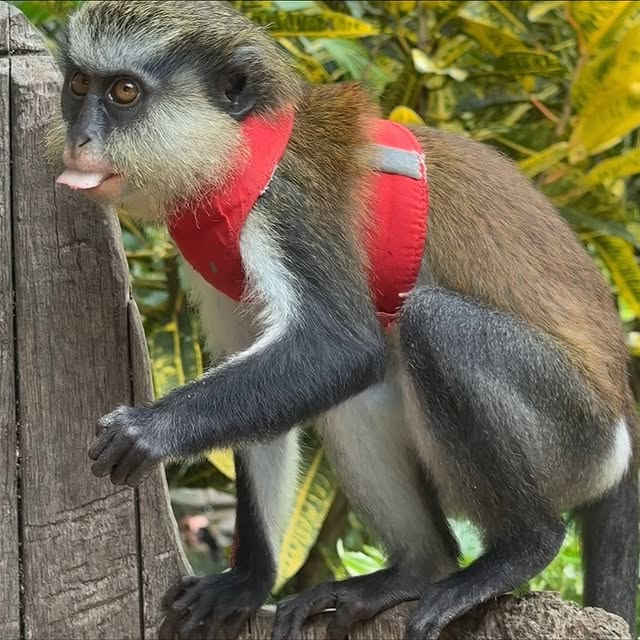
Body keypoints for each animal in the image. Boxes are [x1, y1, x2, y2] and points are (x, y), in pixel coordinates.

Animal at [48, 2, 639, 639]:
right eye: (78, 85)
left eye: (124, 92)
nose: (79, 140)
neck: (240, 152)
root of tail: (623, 410)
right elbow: (264, 384)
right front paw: (248, 582)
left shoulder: (289, 207)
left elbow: (341, 348)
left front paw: (147, 430)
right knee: (360, 398)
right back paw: (415, 570)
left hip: (573, 438)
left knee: (430, 328)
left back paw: (520, 550)